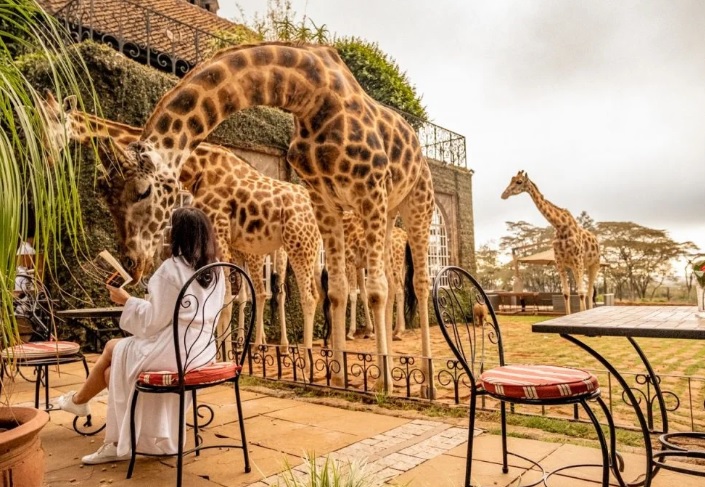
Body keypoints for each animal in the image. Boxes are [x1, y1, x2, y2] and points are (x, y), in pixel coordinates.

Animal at [41, 93, 325, 354]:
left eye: (56, 118)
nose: (46, 156)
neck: (194, 165)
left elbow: (223, 301)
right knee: (289, 292)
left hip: (294, 246)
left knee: (301, 294)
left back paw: (297, 354)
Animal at [343, 212, 409, 341]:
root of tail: (405, 237)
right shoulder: (359, 266)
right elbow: (363, 294)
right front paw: (369, 331)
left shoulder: (350, 262)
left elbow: (352, 295)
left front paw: (350, 333)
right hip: (402, 266)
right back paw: (395, 331)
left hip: (396, 265)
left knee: (399, 290)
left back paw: (399, 332)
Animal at [501, 170, 600, 314]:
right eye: (511, 179)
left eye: (519, 181)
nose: (504, 194)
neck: (561, 226)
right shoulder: (560, 262)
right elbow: (566, 293)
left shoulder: (578, 260)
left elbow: (581, 292)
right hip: (577, 266)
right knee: (586, 290)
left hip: (593, 264)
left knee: (589, 291)